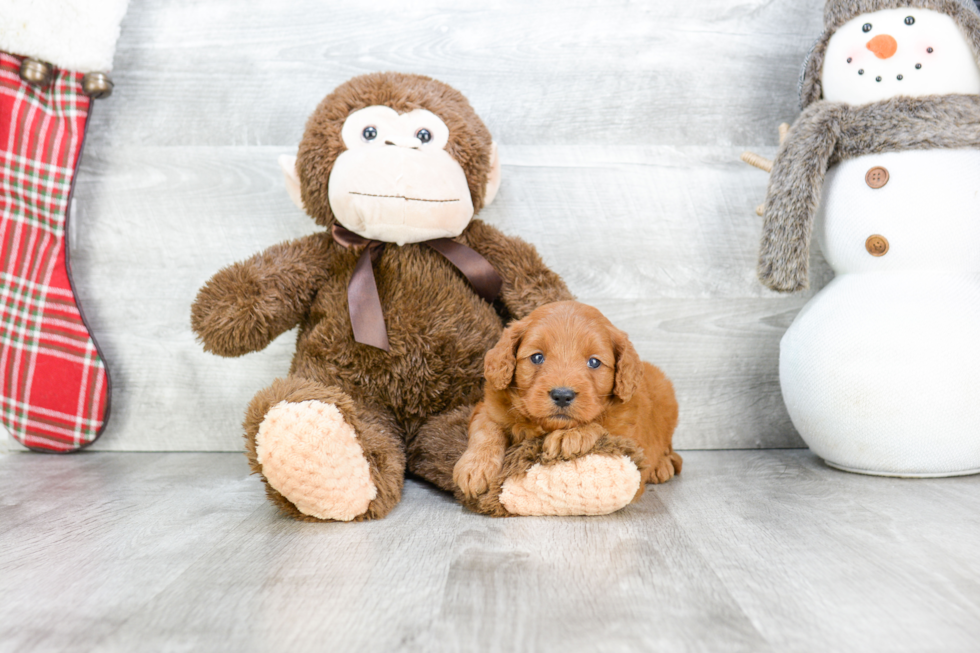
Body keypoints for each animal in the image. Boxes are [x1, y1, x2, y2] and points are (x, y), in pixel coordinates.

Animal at [454, 300, 676, 500]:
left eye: (594, 362)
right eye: (537, 357)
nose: (562, 395)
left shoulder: (628, 433)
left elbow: (602, 426)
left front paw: (570, 435)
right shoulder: (487, 407)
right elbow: (486, 429)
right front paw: (476, 467)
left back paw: (663, 465)